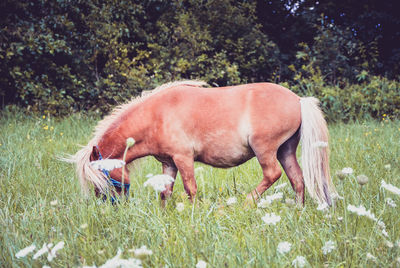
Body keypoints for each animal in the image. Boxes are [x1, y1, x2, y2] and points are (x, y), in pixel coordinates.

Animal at [70, 79, 336, 205]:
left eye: (102, 176)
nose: (109, 205)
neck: (157, 115)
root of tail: (298, 99)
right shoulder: (169, 163)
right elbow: (165, 192)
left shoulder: (183, 158)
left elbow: (191, 188)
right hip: (285, 150)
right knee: (297, 180)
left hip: (265, 149)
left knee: (272, 175)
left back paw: (246, 203)